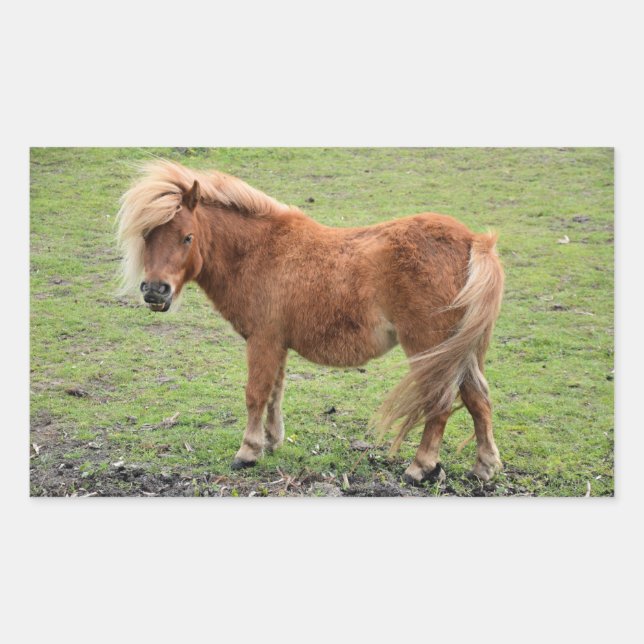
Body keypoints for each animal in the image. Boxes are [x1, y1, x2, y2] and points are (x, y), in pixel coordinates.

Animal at [116, 160, 505, 484]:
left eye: (187, 237)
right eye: (147, 235)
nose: (155, 291)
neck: (260, 251)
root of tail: (474, 241)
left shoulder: (262, 340)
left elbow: (255, 394)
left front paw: (248, 451)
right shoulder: (277, 343)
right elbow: (275, 392)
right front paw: (272, 441)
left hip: (429, 348)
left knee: (440, 404)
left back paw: (420, 467)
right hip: (462, 351)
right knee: (478, 400)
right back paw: (484, 467)